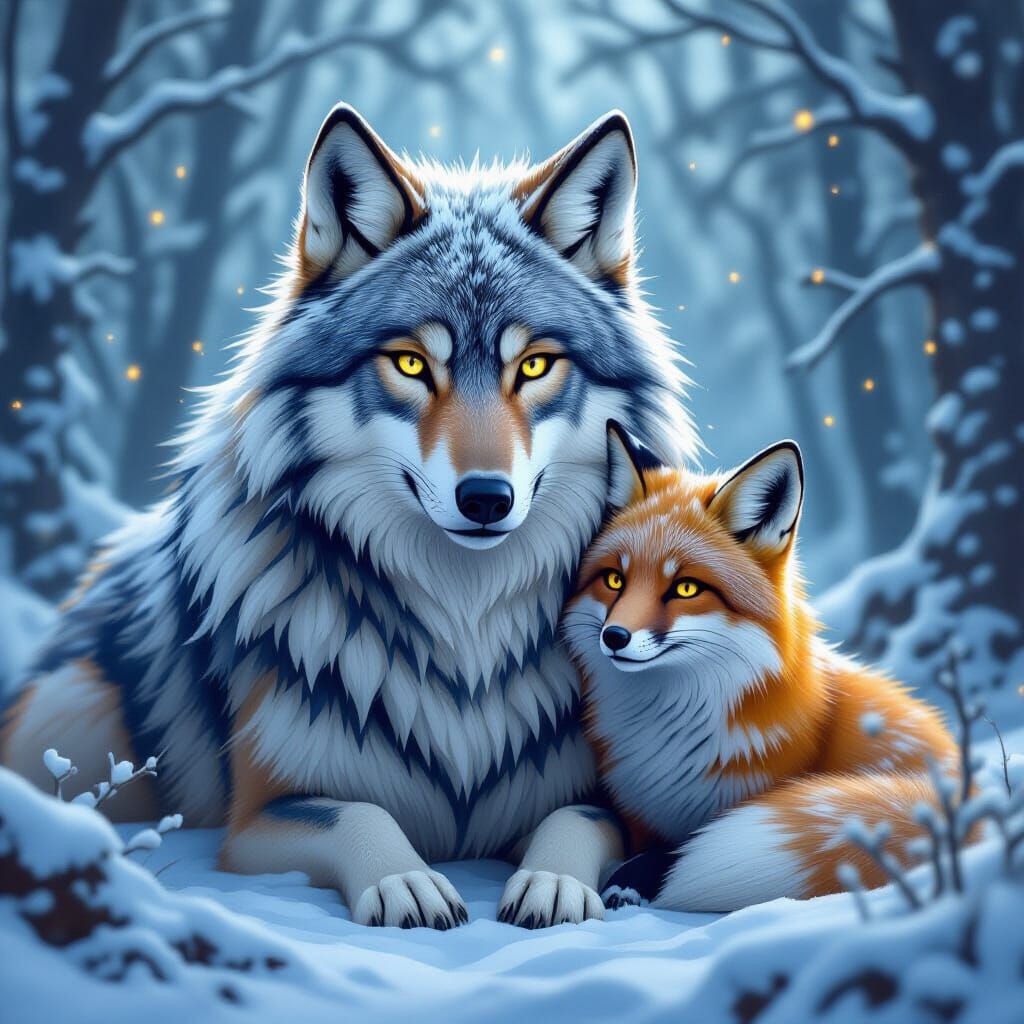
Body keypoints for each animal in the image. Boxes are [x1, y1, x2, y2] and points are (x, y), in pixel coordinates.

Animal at [1, 105, 696, 929]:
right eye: (410, 364)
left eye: (533, 366)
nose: (485, 499)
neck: (464, 623)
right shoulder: (260, 816)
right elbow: (358, 813)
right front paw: (406, 884)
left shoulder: (608, 800)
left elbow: (576, 817)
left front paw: (553, 883)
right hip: (73, 707)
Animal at [562, 423, 959, 911]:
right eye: (615, 580)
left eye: (686, 588)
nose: (614, 637)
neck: (673, 728)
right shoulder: (639, 814)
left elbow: (677, 849)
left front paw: (636, 879)